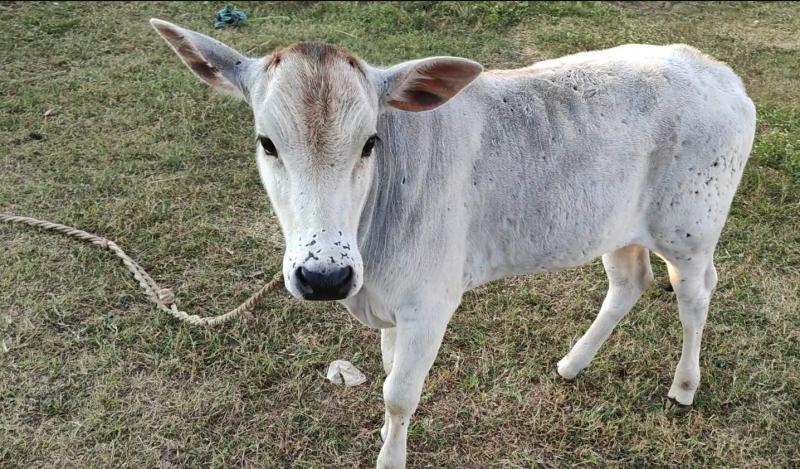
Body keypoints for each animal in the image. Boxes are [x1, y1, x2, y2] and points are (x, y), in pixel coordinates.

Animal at [151, 19, 756, 468]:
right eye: (267, 142)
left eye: (369, 142)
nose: (325, 275)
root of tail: (719, 72)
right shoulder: (390, 308)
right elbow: (388, 374)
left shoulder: (430, 305)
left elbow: (399, 393)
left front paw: (390, 456)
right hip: (616, 225)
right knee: (630, 282)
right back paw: (571, 364)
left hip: (691, 231)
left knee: (695, 293)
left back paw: (683, 386)